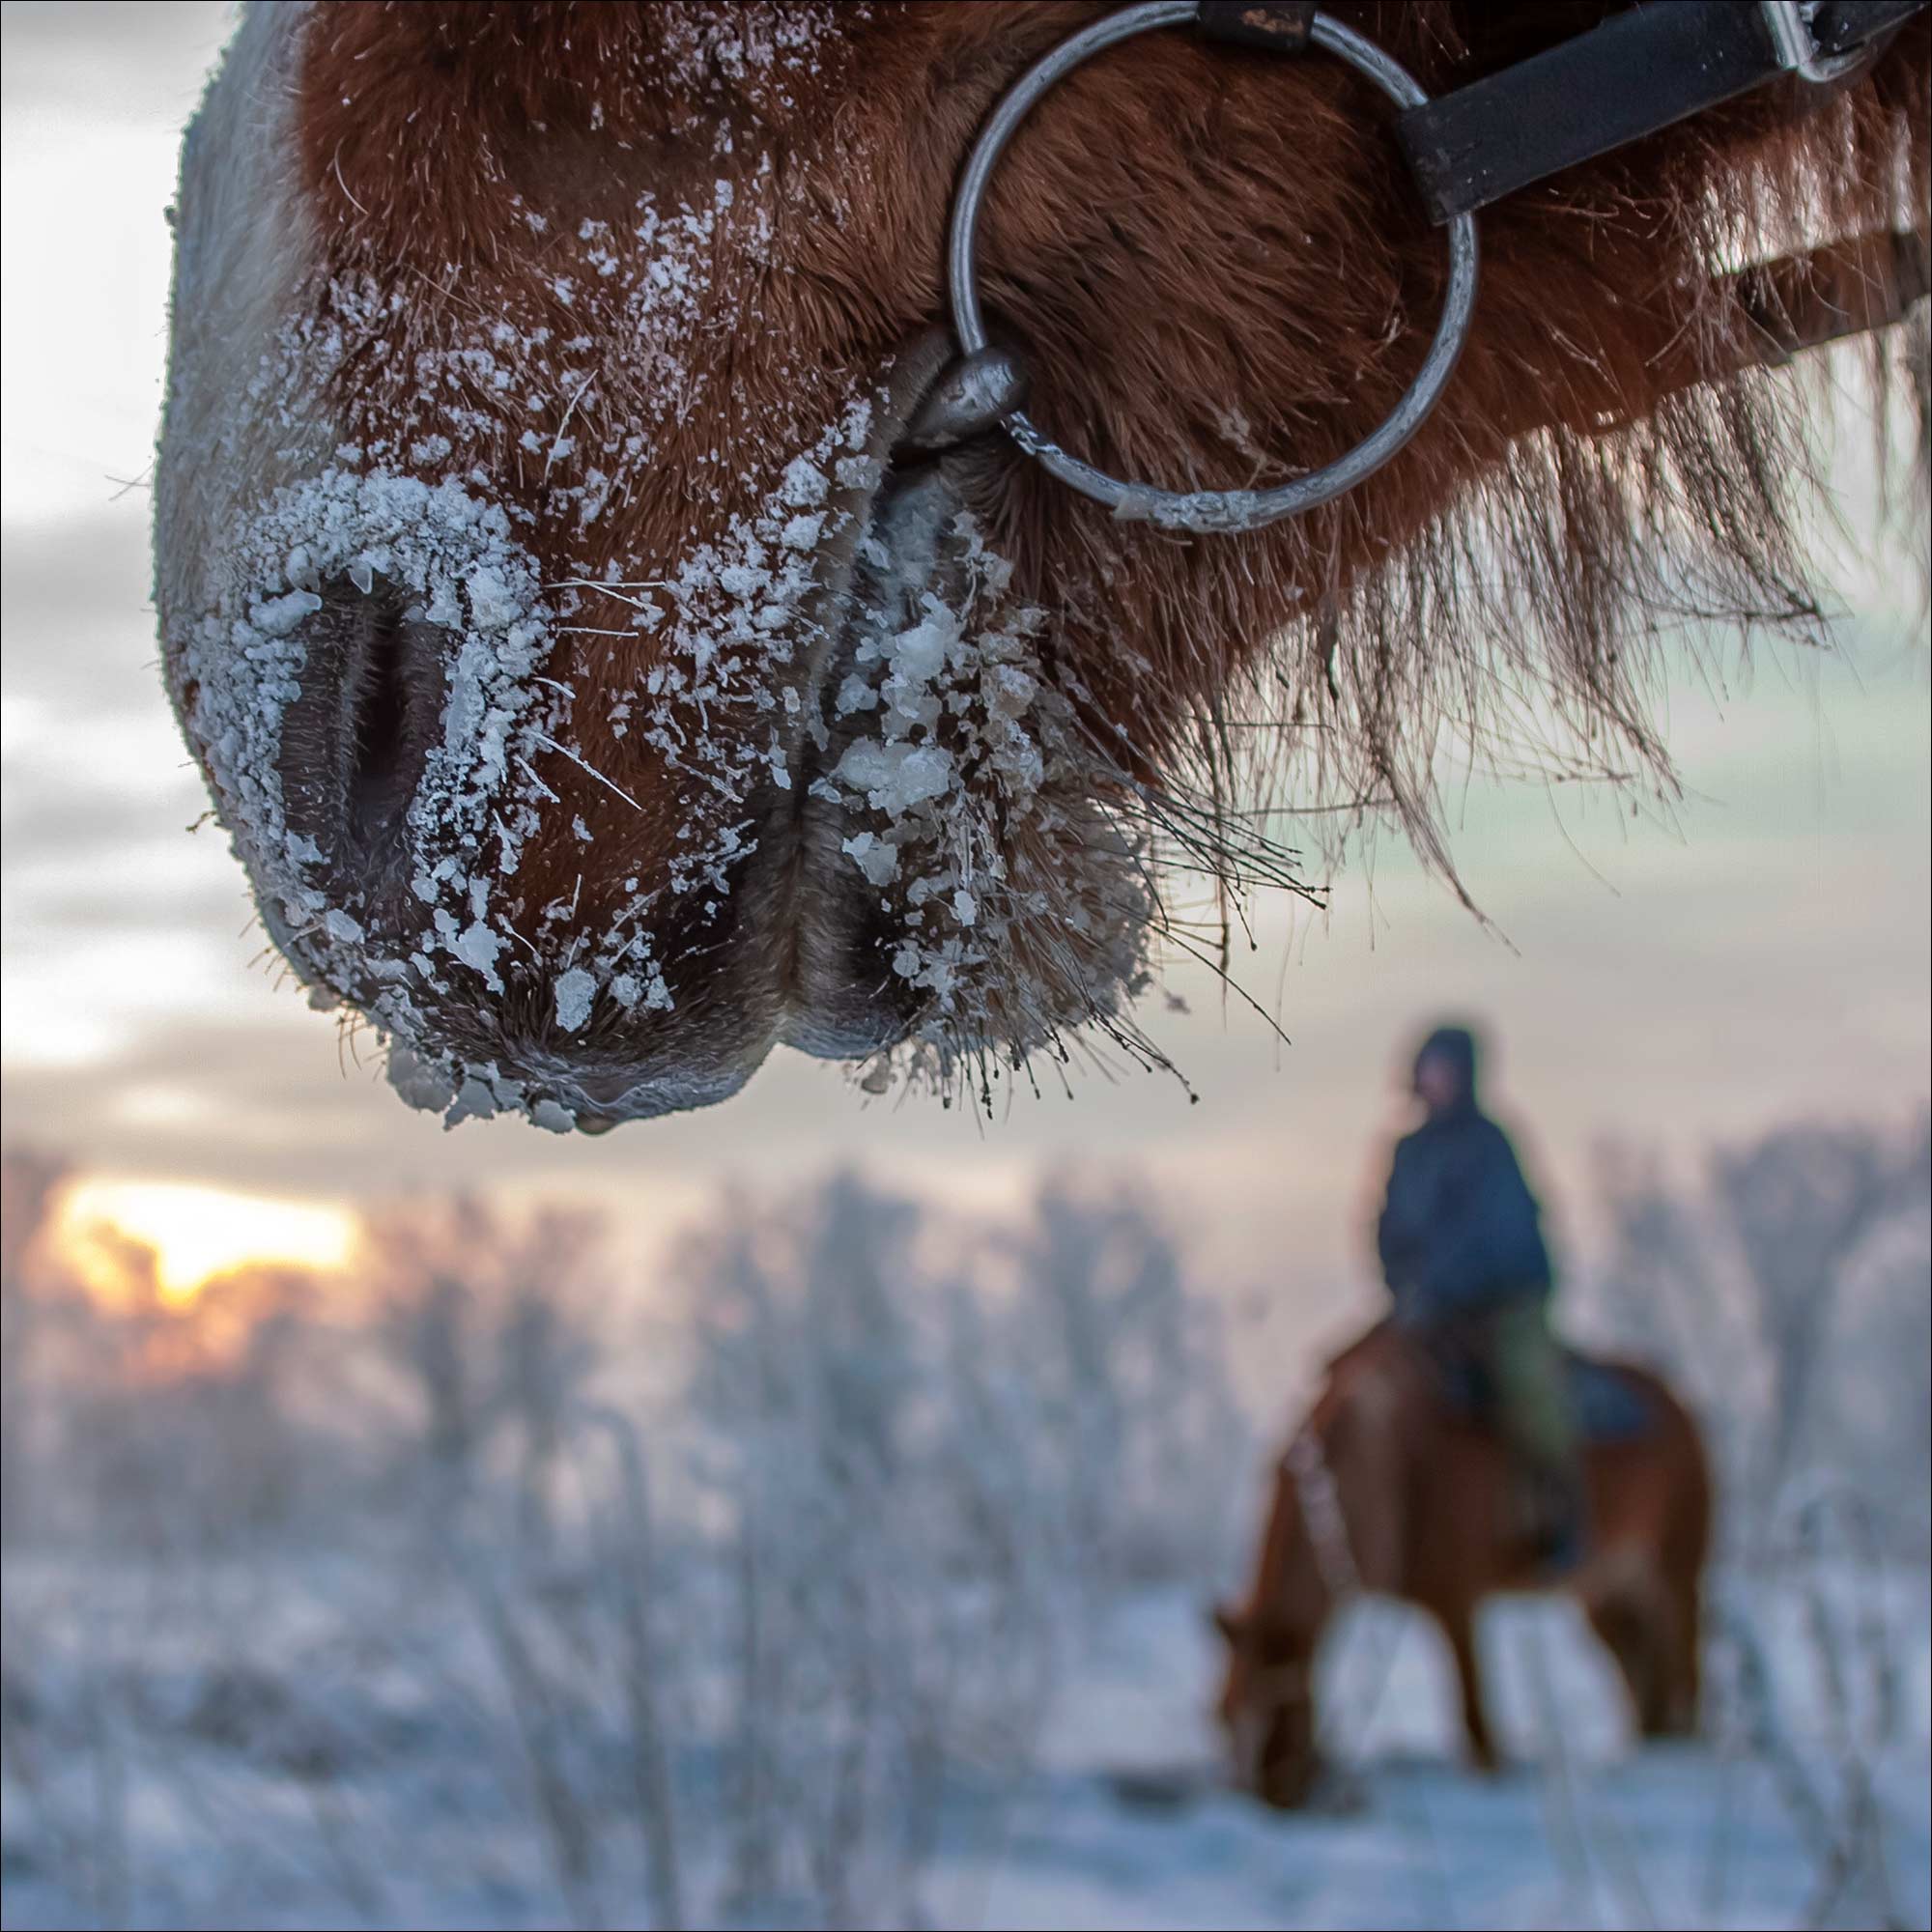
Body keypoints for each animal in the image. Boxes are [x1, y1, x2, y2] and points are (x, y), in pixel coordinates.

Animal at [1213, 1321, 1716, 1801]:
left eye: (1277, 1703)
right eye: (1220, 1713)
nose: (1268, 1797)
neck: (1393, 1468)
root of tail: (1677, 1400)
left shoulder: (1457, 1599)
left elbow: (1474, 1711)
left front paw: (1492, 1774)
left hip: (1676, 1571)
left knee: (1685, 1665)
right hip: (1606, 1591)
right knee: (1637, 1672)